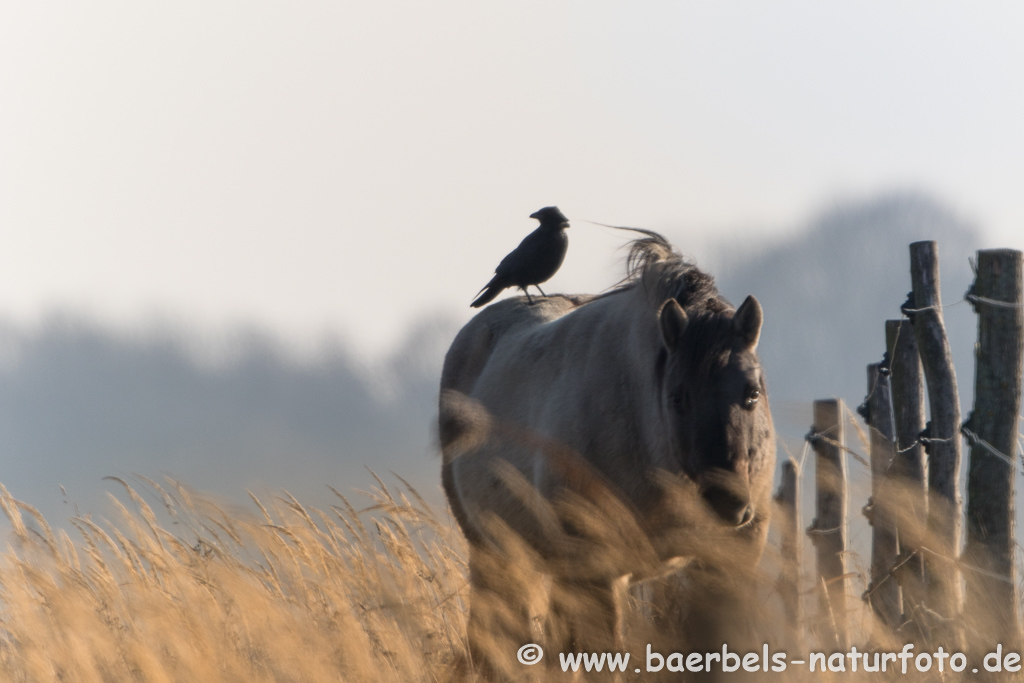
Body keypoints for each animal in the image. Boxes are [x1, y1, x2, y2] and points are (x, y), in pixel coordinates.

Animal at [440, 232, 774, 679]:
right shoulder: (600, 574)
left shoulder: (725, 565)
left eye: (751, 392)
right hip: (496, 553)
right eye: (677, 397)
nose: (727, 502)